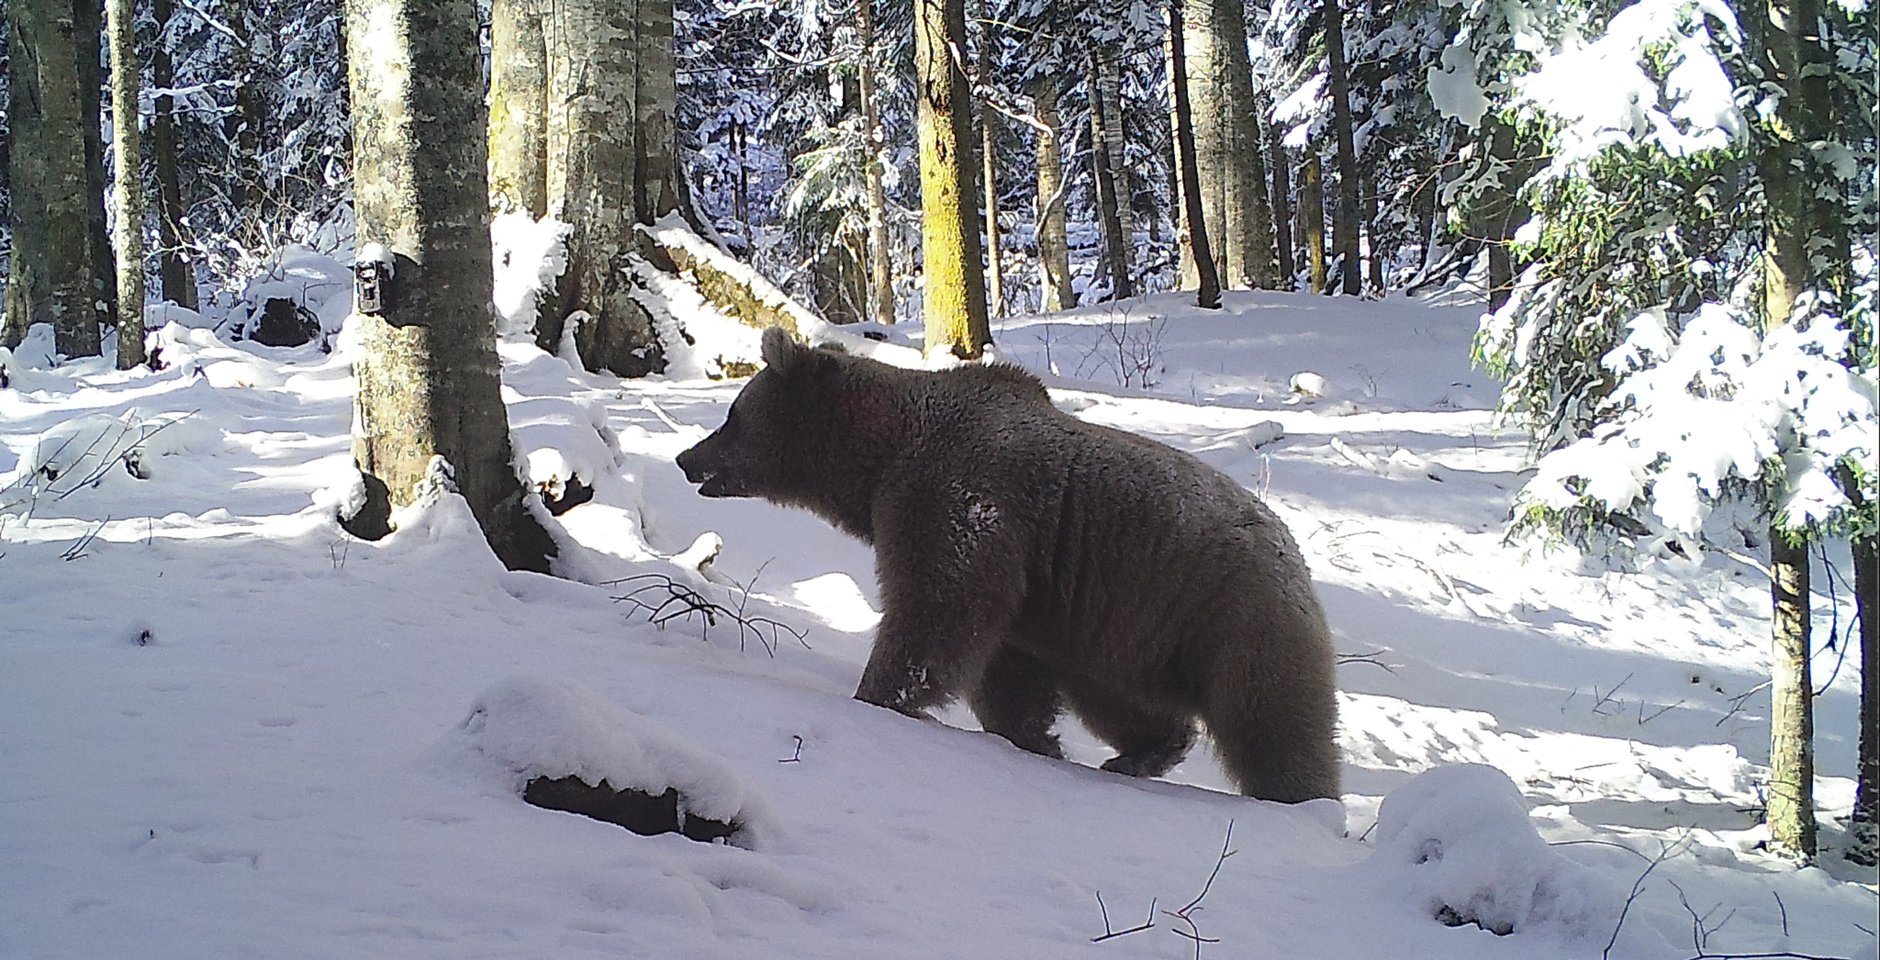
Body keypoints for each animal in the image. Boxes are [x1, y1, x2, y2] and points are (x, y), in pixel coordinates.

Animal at [676, 330, 1338, 804]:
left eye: (733, 415)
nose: (687, 458)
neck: (879, 460)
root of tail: (1293, 550)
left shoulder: (959, 504)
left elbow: (932, 616)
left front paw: (877, 696)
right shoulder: (1027, 589)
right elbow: (1005, 671)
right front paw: (1036, 740)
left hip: (1231, 618)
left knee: (1270, 724)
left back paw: (1301, 802)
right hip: (1123, 630)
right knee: (1122, 701)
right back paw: (1138, 754)